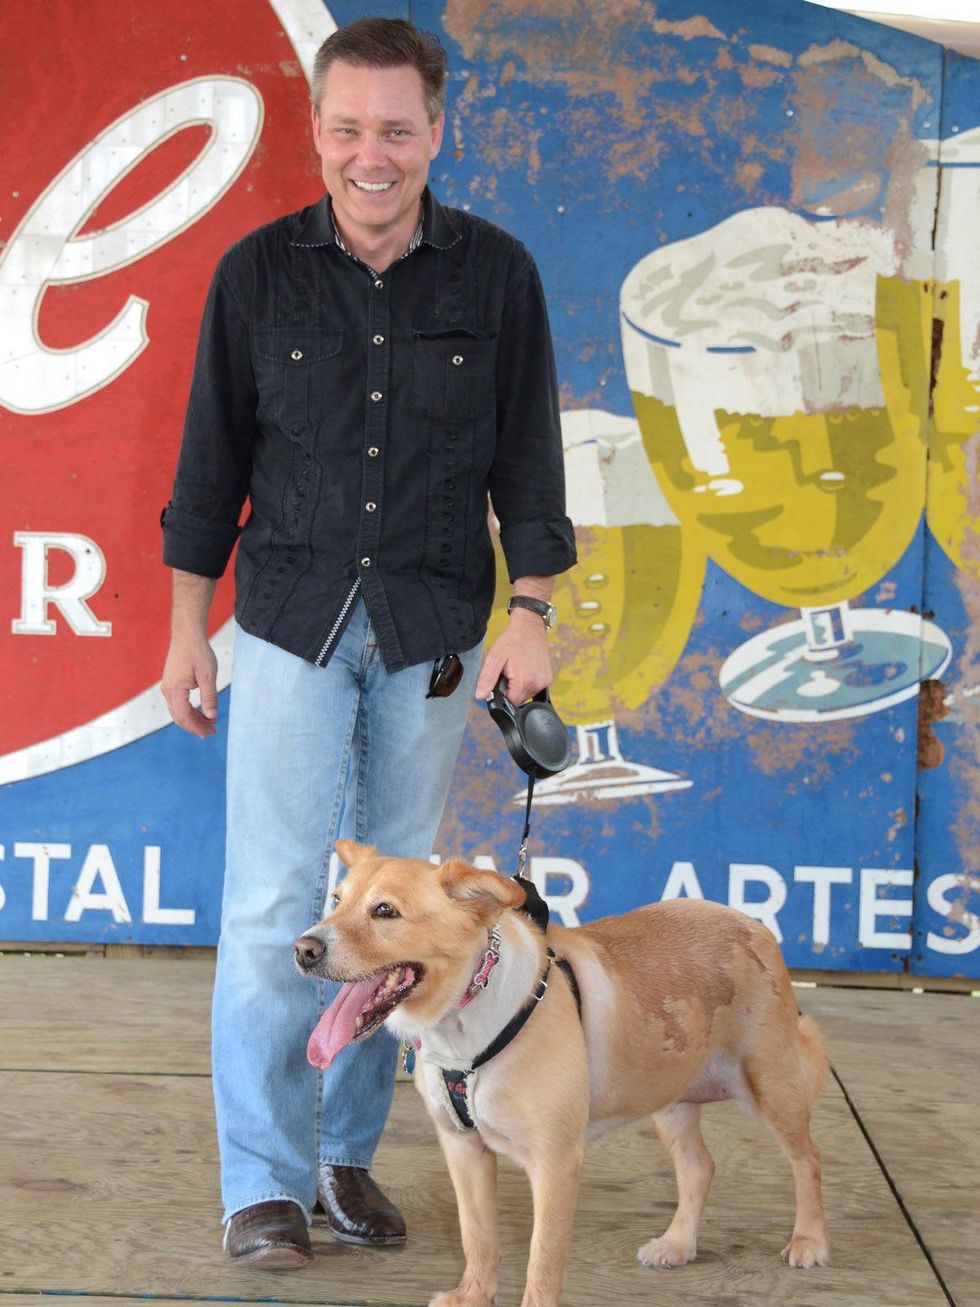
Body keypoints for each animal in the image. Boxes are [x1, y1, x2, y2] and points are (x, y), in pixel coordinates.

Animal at [294, 836, 831, 1307]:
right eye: (336, 901)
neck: (465, 1018)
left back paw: (809, 1240)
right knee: (699, 1167)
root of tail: (749, 920)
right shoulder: (463, 1149)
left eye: (385, 911)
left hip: (771, 1084)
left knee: (807, 1158)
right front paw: (473, 1296)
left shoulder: (556, 1163)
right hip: (669, 1099)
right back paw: (676, 1244)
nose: (303, 949)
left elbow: (542, 1262)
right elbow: (477, 1238)